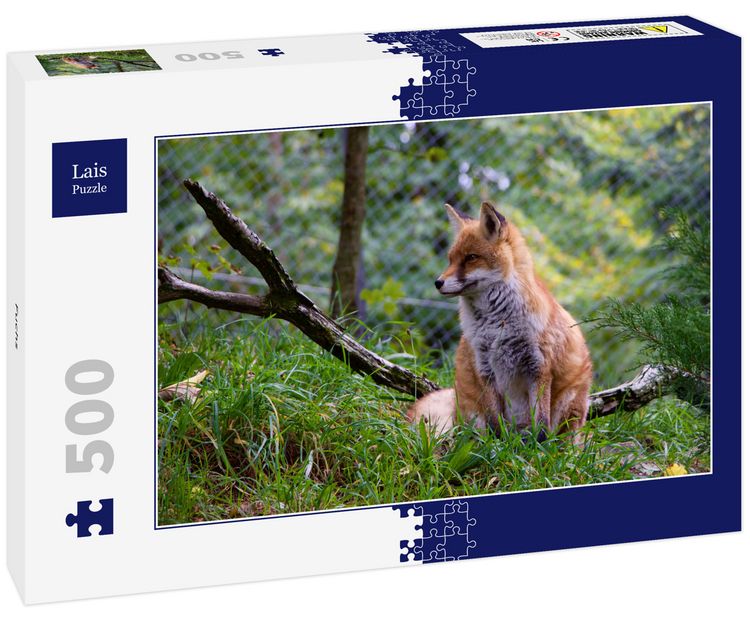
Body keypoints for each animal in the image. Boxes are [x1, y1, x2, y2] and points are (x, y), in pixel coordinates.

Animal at [408, 201, 593, 438]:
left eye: (470, 257)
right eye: (450, 259)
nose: (437, 283)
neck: (497, 325)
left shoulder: (539, 367)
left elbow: (541, 424)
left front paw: (538, 445)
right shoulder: (485, 367)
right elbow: (495, 422)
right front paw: (497, 443)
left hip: (570, 403)